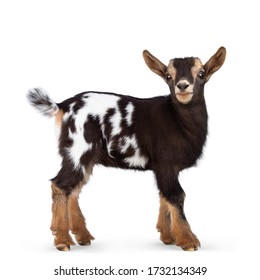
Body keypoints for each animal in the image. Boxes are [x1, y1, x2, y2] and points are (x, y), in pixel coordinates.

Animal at [26, 46, 225, 252]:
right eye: (168, 76)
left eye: (201, 74)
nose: (183, 86)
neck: (177, 120)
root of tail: (62, 106)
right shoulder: (166, 163)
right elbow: (175, 195)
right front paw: (188, 241)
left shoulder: (163, 168)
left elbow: (164, 195)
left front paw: (167, 236)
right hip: (77, 151)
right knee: (60, 184)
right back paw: (62, 240)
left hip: (85, 158)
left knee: (73, 190)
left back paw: (82, 236)